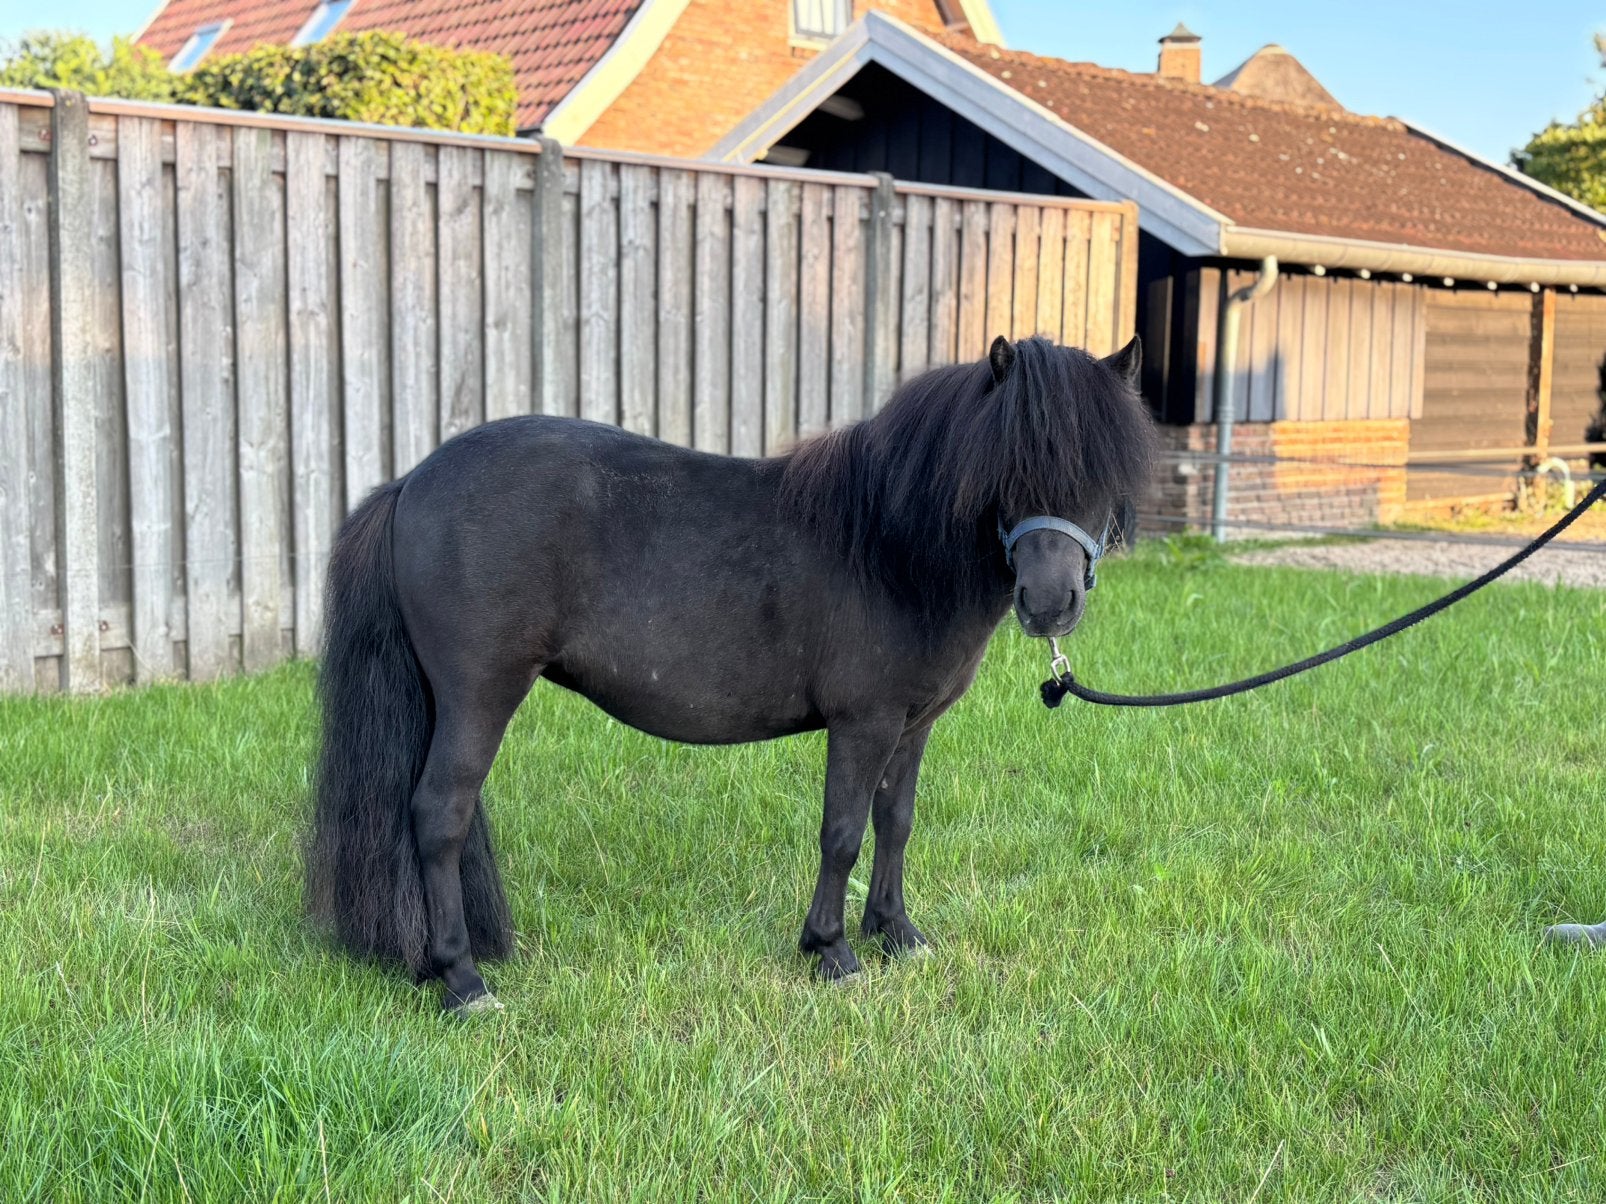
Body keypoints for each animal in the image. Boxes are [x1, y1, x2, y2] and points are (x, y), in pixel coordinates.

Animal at [307, 334, 1157, 1013]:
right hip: (478, 695)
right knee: (438, 816)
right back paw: (463, 981)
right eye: (1007, 464)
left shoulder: (912, 726)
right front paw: (832, 951)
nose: (1049, 604)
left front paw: (897, 935)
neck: (887, 544)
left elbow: (896, 822)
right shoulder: (864, 723)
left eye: (1103, 468)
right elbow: (842, 833)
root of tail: (412, 482)